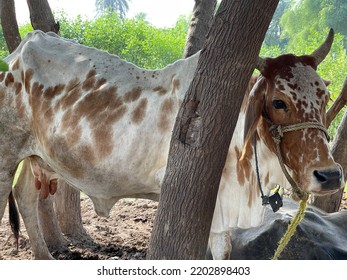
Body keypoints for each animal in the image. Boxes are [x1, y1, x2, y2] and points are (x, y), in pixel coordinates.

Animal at [0, 29, 344, 260]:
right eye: (278, 101)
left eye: (324, 97)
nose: (330, 175)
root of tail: (22, 47)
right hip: (8, 151)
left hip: (35, 156)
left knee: (25, 196)